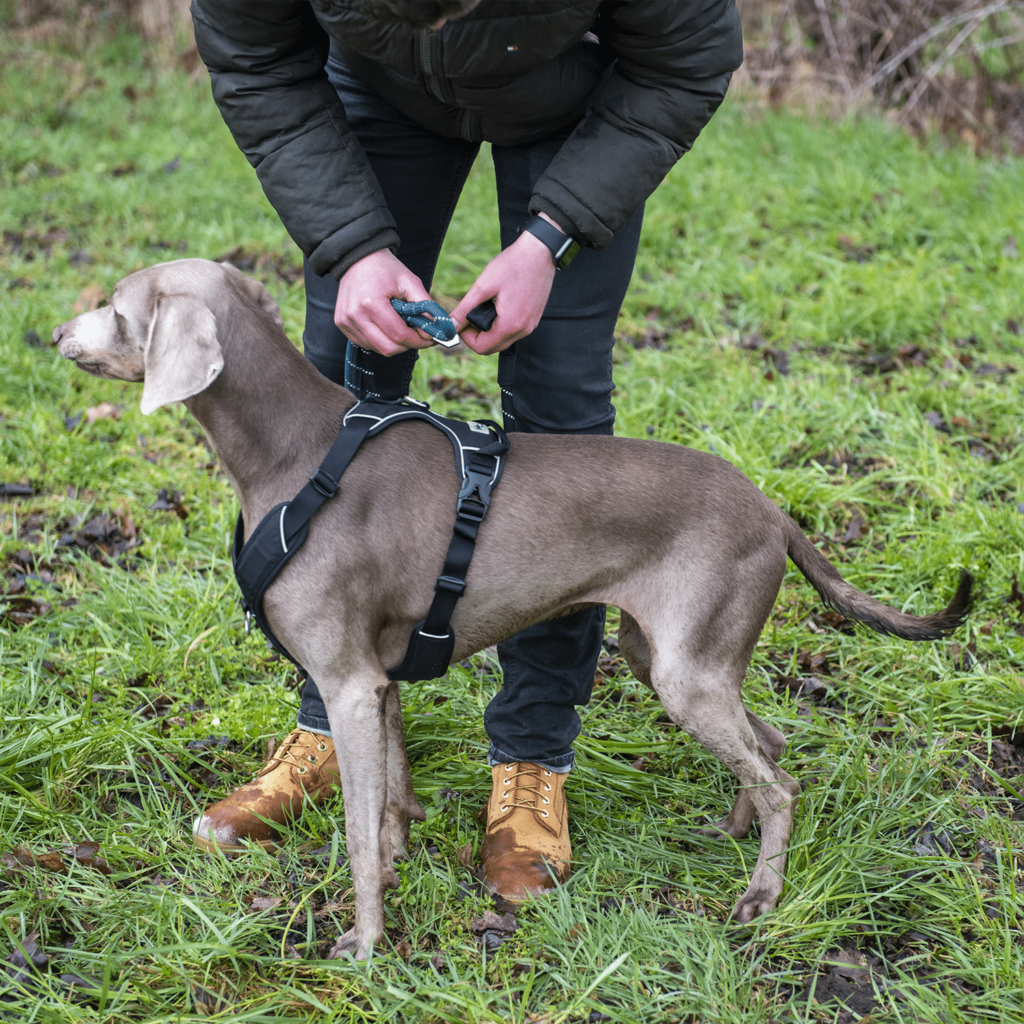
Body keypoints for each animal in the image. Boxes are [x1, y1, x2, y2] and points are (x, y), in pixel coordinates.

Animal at [51, 258, 970, 958]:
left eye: (115, 306)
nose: (53, 336)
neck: (300, 456)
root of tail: (776, 511)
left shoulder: (346, 684)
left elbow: (355, 832)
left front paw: (365, 943)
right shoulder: (381, 683)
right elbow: (390, 808)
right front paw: (398, 870)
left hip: (685, 672)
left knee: (782, 785)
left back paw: (760, 897)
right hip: (673, 657)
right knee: (773, 749)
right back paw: (734, 834)